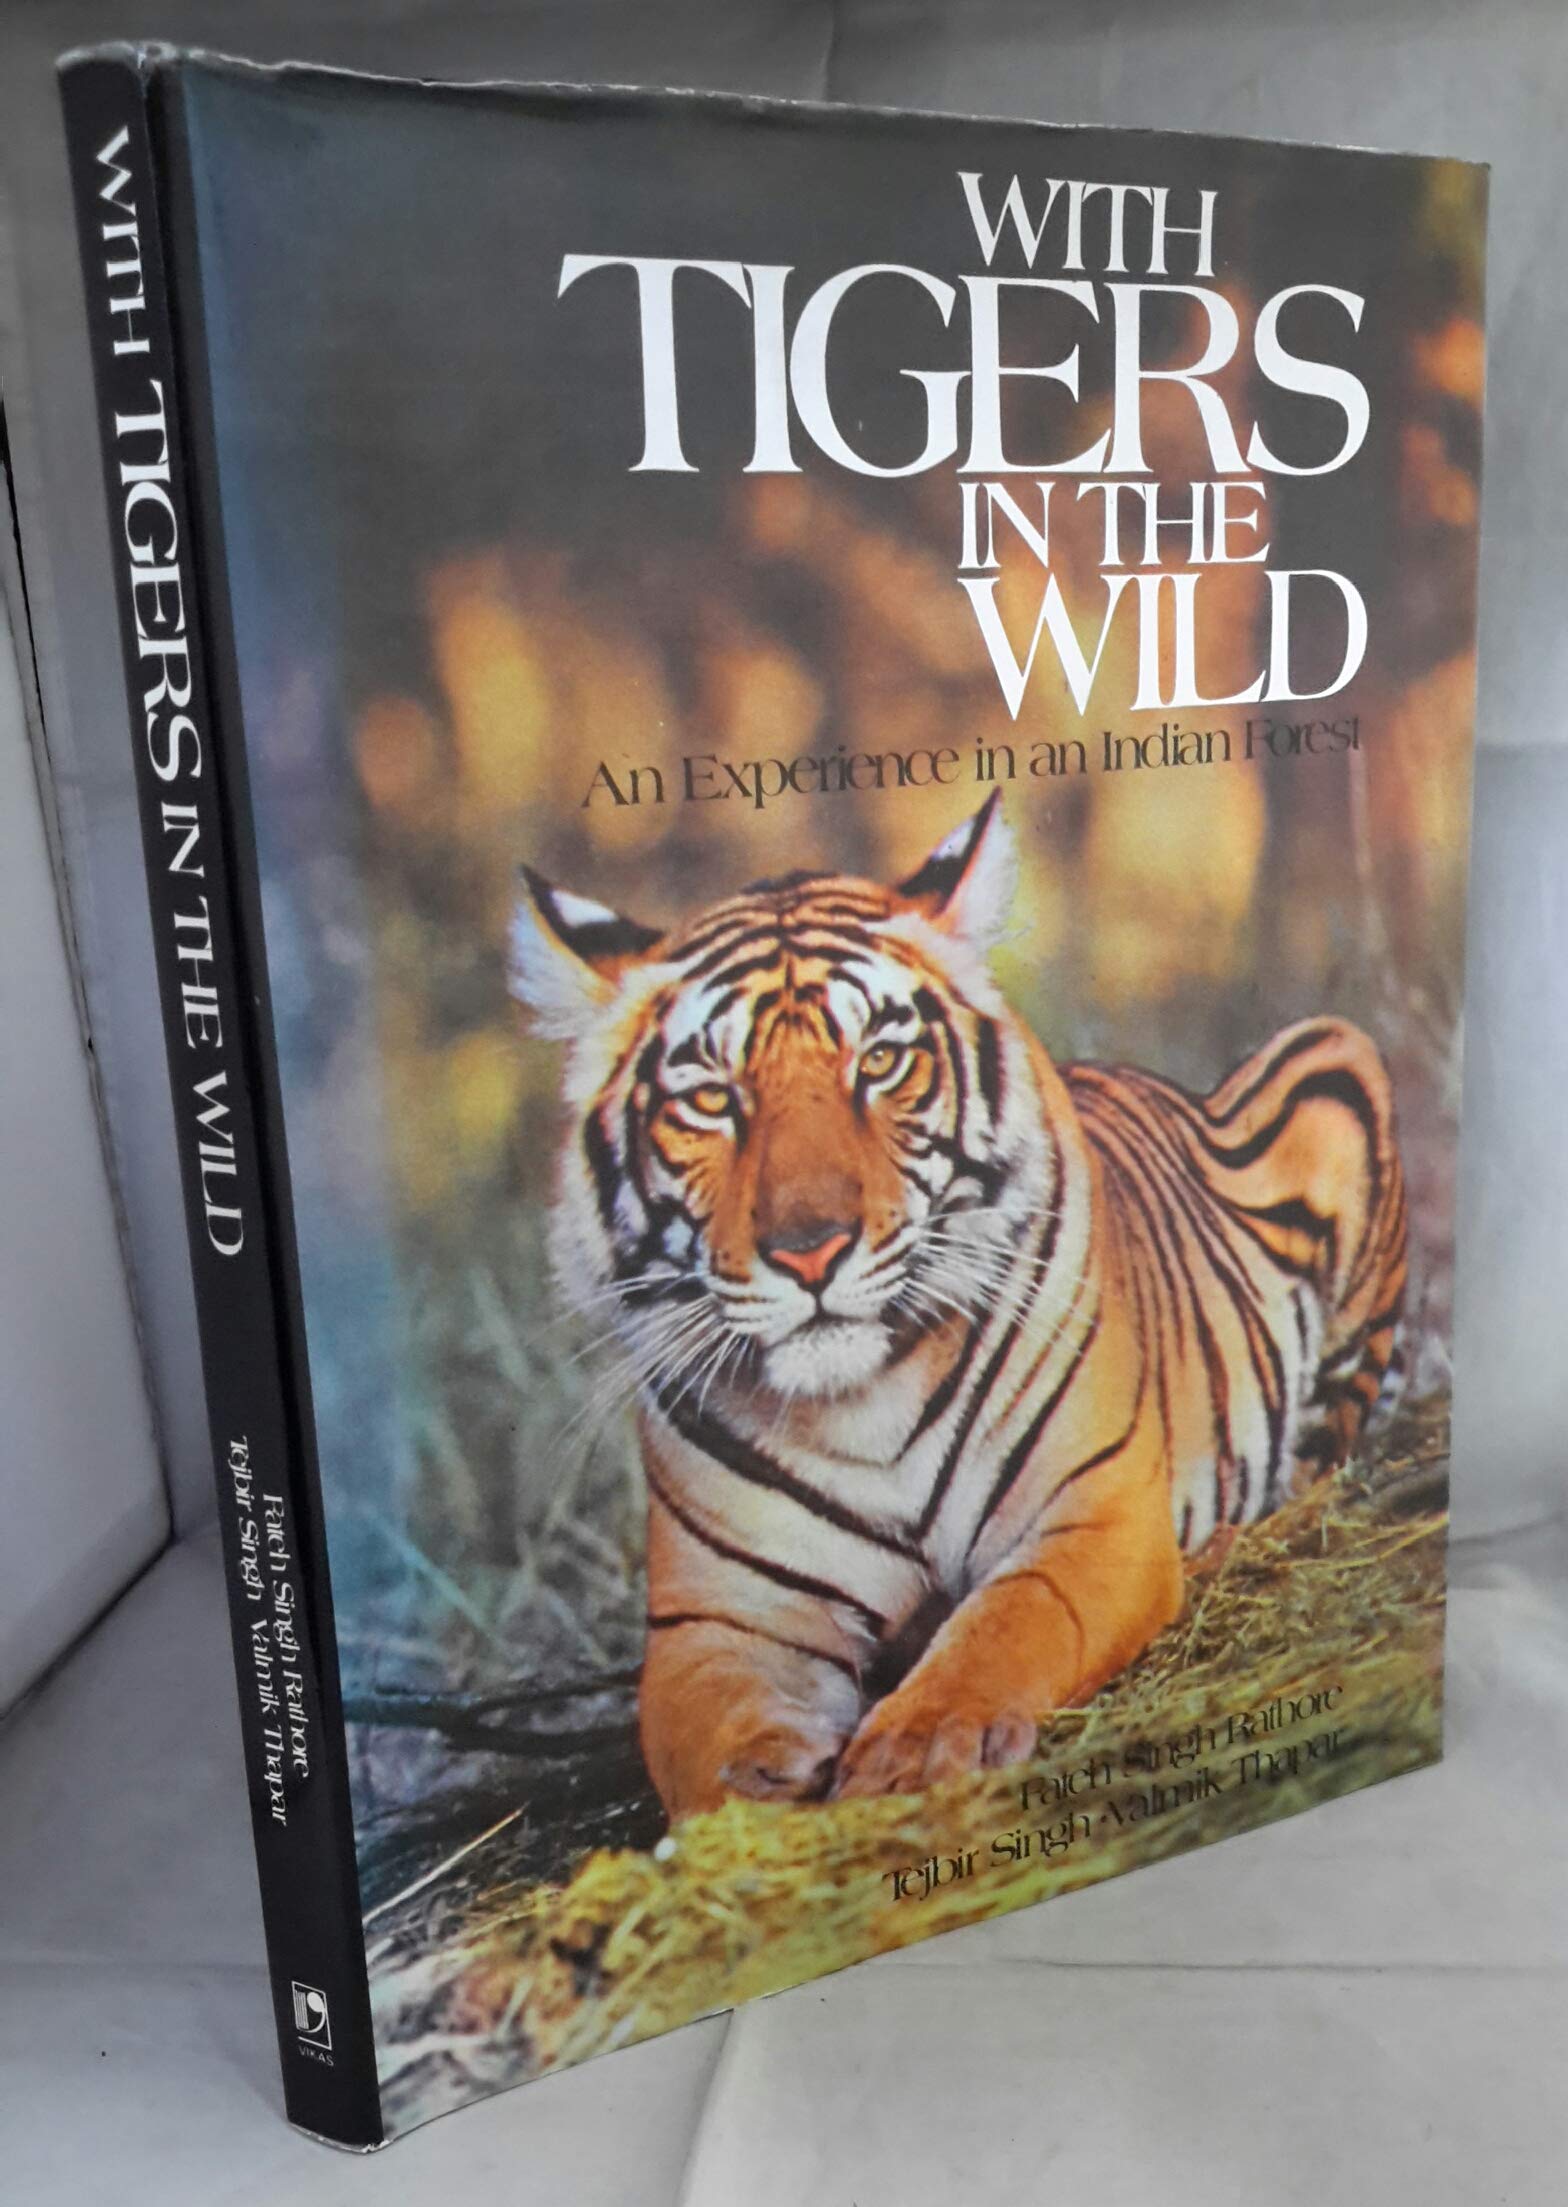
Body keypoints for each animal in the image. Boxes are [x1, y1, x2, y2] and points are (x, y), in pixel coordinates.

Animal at [509, 794, 1407, 1819]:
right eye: (711, 1100)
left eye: (880, 1061)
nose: (810, 1248)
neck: (860, 1401)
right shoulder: (718, 1615)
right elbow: (705, 1727)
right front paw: (758, 1781)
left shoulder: (1089, 1514)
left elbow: (1007, 1624)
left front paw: (919, 1742)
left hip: (1336, 1061)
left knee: (1323, 1463)